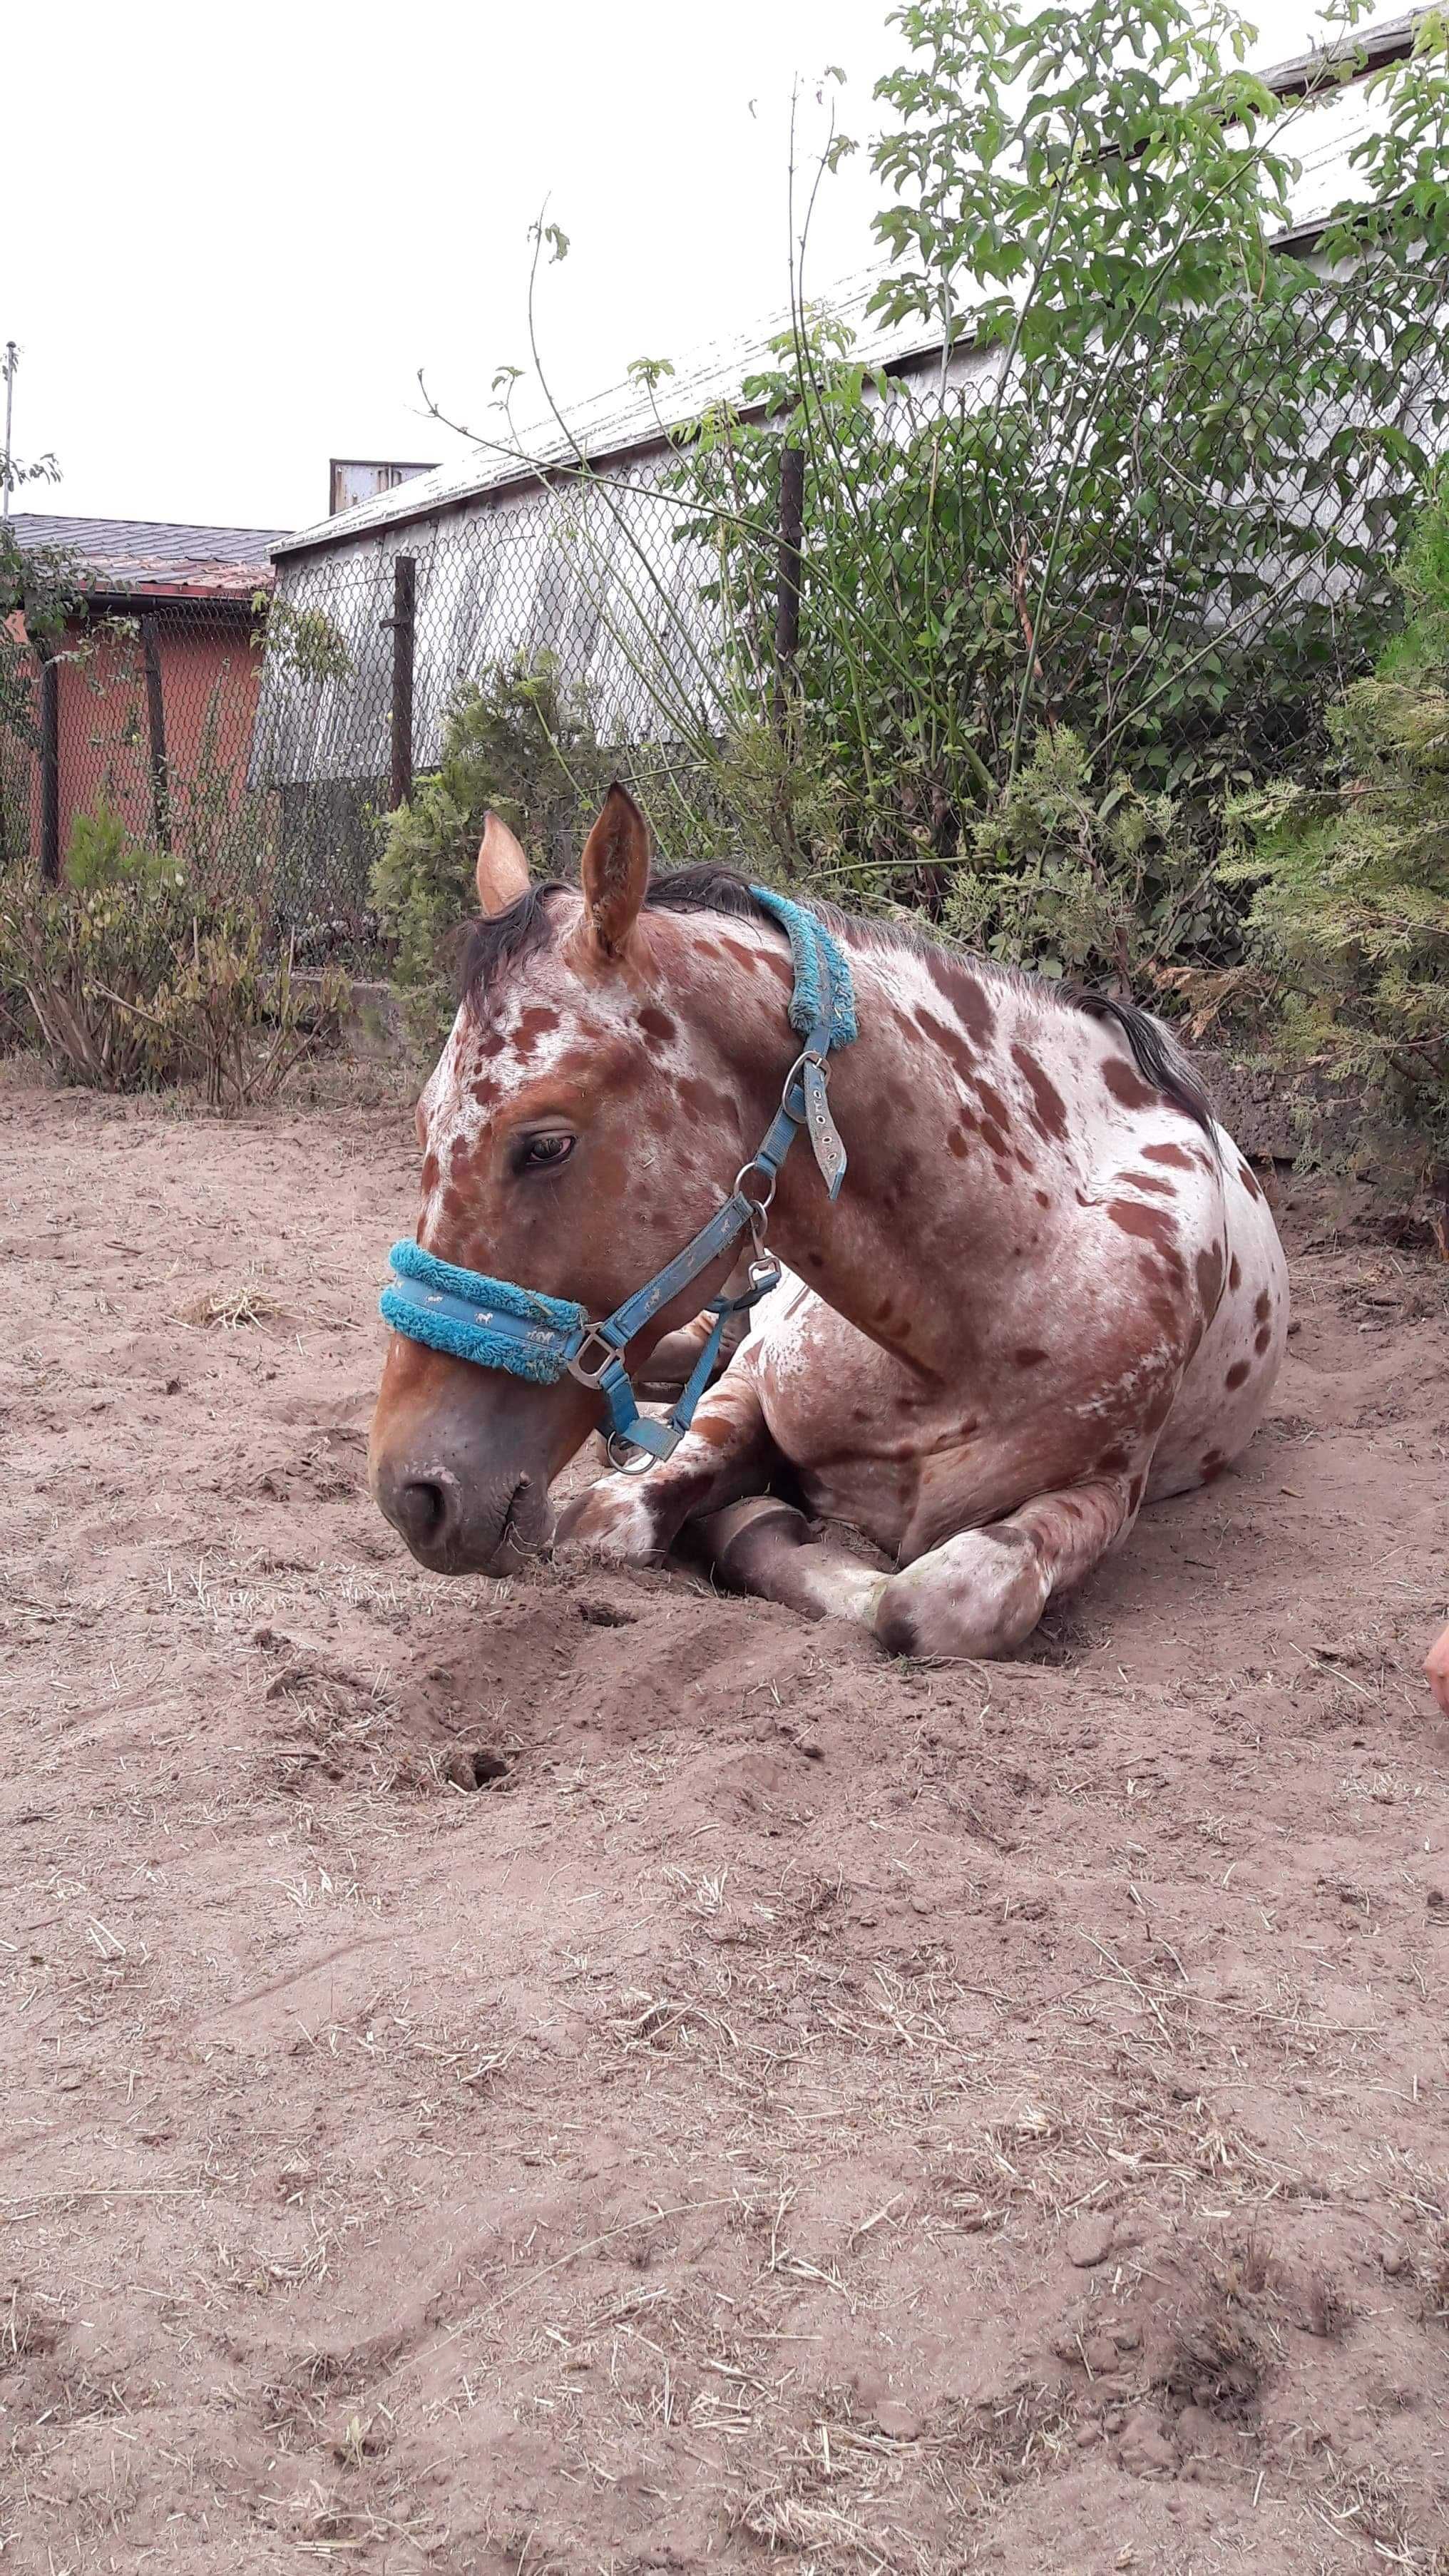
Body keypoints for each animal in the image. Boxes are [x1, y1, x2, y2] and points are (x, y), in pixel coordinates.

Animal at [370, 783, 1291, 1659]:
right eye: (421, 1121)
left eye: (546, 1144)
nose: (413, 1495)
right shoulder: (748, 1383)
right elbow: (611, 1518)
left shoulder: (1104, 1493)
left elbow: (934, 1602)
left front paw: (756, 1520)